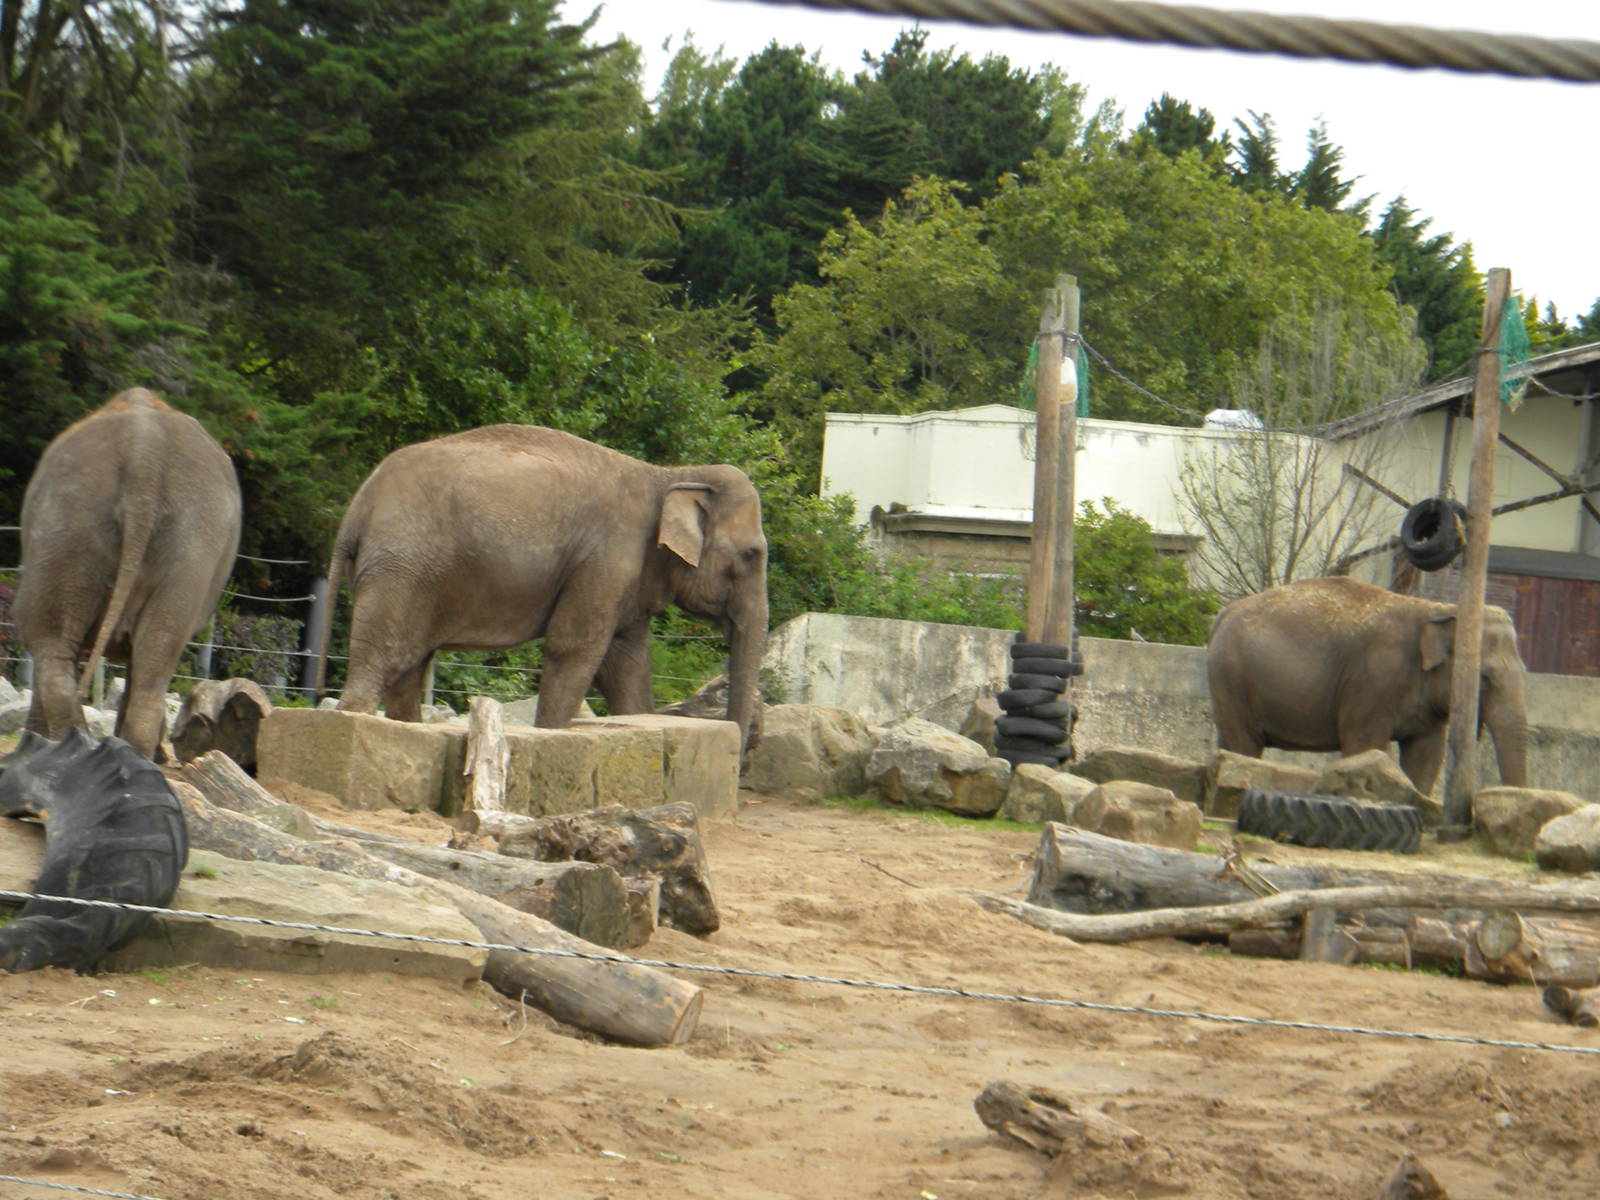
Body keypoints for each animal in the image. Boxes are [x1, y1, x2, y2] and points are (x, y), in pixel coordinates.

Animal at [319, 425, 768, 750]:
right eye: (752, 554)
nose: (741, 745)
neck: (671, 473)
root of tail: (358, 505)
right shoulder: (607, 558)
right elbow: (574, 648)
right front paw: (551, 735)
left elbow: (625, 664)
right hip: (401, 567)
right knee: (385, 661)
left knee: (408, 668)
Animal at [1205, 575, 1528, 794]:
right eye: (1484, 679)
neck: (1437, 609)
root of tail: (1222, 615)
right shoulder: (1374, 680)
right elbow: (1365, 745)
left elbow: (1427, 756)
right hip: (1232, 677)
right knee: (1244, 744)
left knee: (1228, 743)